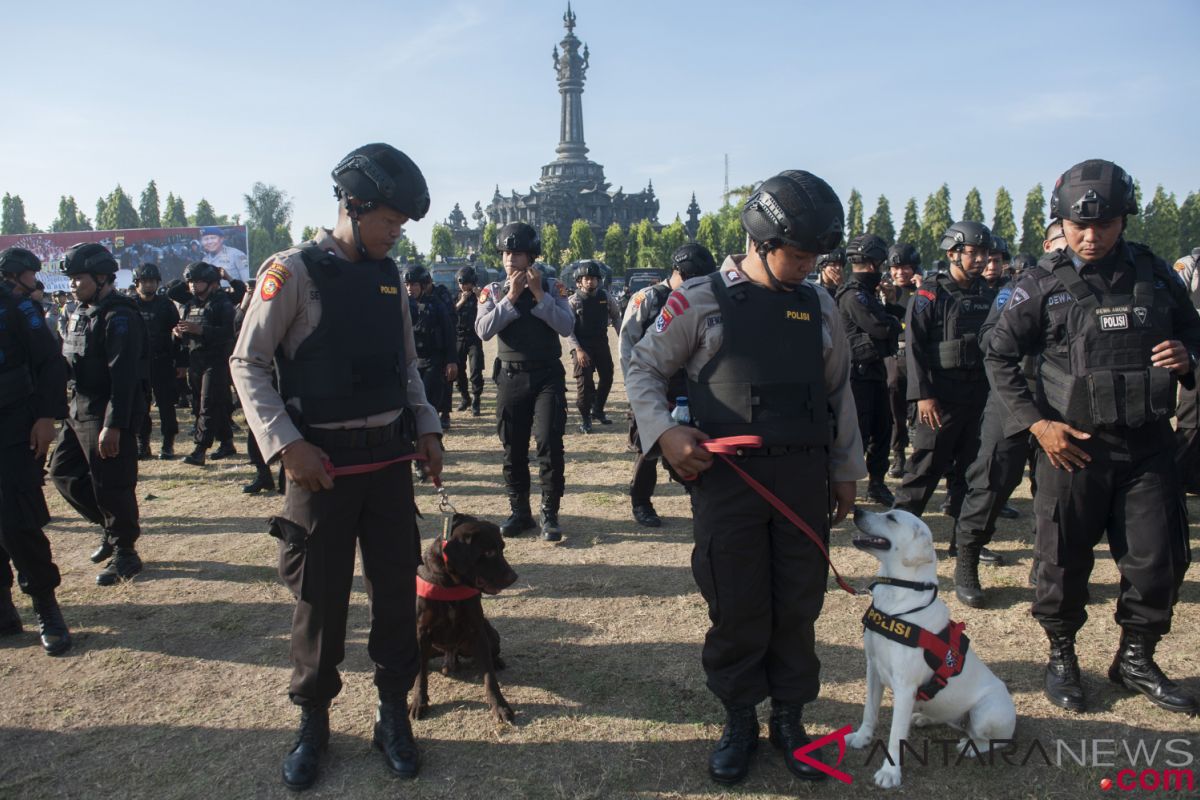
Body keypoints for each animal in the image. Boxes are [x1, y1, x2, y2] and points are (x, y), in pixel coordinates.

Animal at [410, 513, 518, 724]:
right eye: (488, 552)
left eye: (502, 548)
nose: (514, 577)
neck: (451, 583)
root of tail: (450, 654)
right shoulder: (421, 633)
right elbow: (421, 674)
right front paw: (419, 702)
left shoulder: (478, 631)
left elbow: (489, 677)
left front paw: (500, 706)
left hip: (489, 634)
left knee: (491, 654)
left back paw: (496, 661)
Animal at [844, 506, 1012, 786]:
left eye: (891, 518)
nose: (856, 510)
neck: (897, 602)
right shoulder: (873, 669)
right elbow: (869, 711)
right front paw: (862, 737)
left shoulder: (905, 687)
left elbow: (895, 734)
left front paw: (890, 773)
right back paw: (923, 717)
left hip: (986, 712)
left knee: (993, 740)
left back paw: (970, 746)